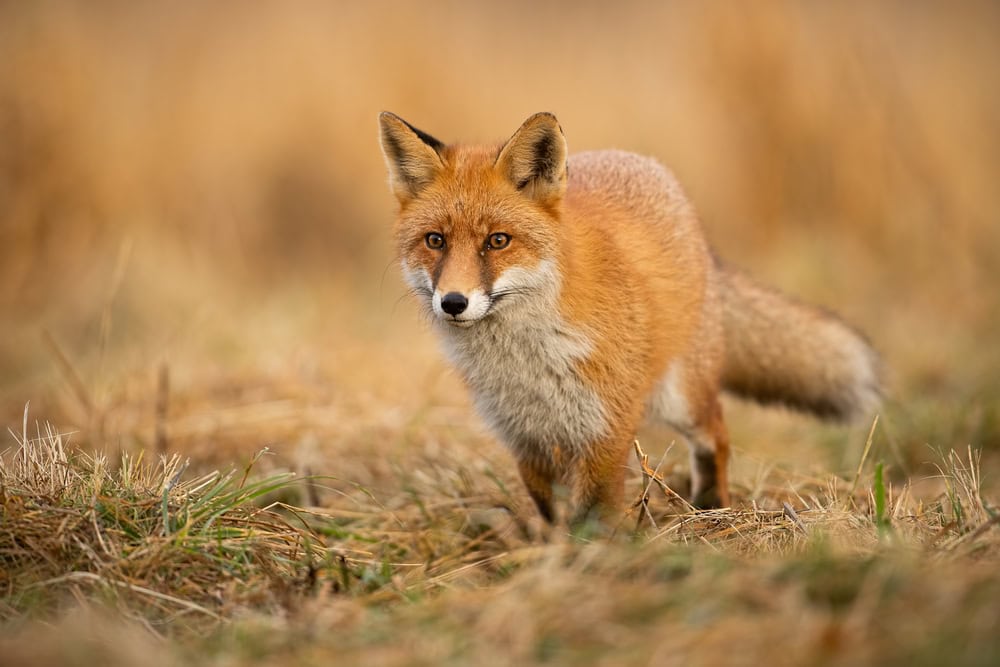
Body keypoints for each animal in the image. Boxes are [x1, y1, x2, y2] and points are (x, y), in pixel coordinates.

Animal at [378, 111, 880, 526]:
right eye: (435, 240)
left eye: (498, 241)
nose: (453, 302)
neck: (526, 362)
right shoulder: (525, 437)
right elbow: (551, 513)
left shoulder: (607, 427)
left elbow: (595, 511)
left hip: (681, 397)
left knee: (718, 435)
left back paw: (712, 508)